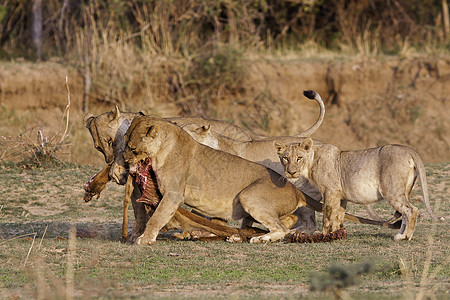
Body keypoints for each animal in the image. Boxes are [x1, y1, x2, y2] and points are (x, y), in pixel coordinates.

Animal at [113, 116, 398, 245]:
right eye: (123, 144)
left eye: (132, 148)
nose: (123, 164)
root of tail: (293, 188)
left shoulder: (172, 194)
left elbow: (158, 216)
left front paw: (144, 238)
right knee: (287, 221)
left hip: (249, 196)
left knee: (281, 228)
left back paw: (258, 239)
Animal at [274, 137, 442, 240]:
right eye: (285, 158)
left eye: (299, 158)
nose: (291, 172)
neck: (311, 161)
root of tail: (408, 149)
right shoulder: (341, 196)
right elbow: (338, 216)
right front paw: (337, 233)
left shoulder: (330, 191)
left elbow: (327, 215)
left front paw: (323, 234)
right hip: (405, 191)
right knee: (404, 213)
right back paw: (400, 234)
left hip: (392, 190)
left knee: (412, 210)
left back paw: (405, 237)